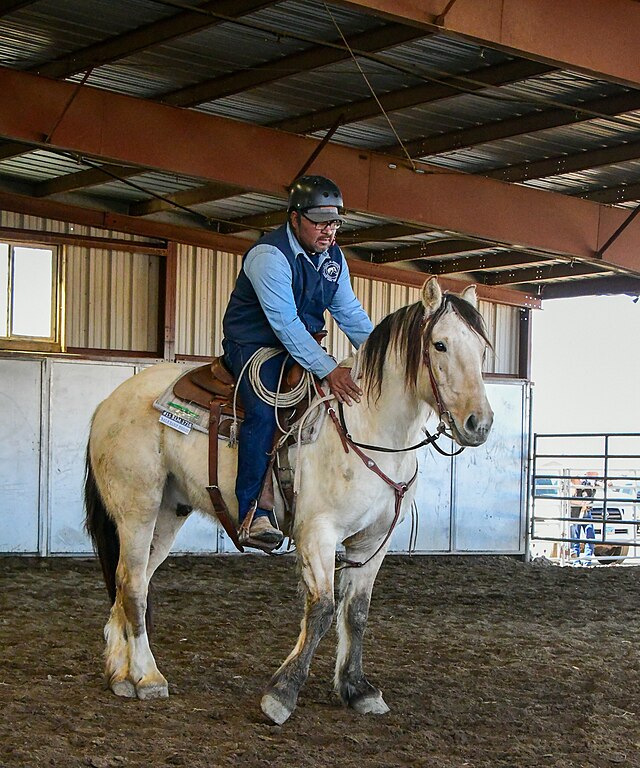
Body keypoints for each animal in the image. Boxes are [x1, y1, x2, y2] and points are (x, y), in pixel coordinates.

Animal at [84, 276, 494, 724]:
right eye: (440, 344)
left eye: (481, 348)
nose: (479, 423)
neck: (370, 430)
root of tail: (110, 402)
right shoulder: (318, 533)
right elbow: (322, 610)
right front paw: (281, 694)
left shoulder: (373, 541)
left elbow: (357, 612)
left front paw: (357, 689)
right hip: (136, 509)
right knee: (132, 584)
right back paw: (148, 677)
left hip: (167, 513)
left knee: (130, 580)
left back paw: (120, 675)